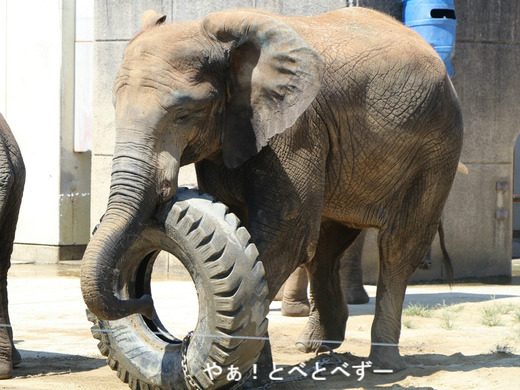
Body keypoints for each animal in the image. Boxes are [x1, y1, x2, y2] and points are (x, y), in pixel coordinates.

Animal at [81, 5, 464, 372]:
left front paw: (251, 373)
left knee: (398, 245)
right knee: (326, 247)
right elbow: (248, 225)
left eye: (185, 113)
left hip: (438, 147)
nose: (144, 303)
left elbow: (285, 236)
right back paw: (315, 348)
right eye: (115, 105)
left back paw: (386, 364)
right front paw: (255, 369)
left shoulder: (297, 131)